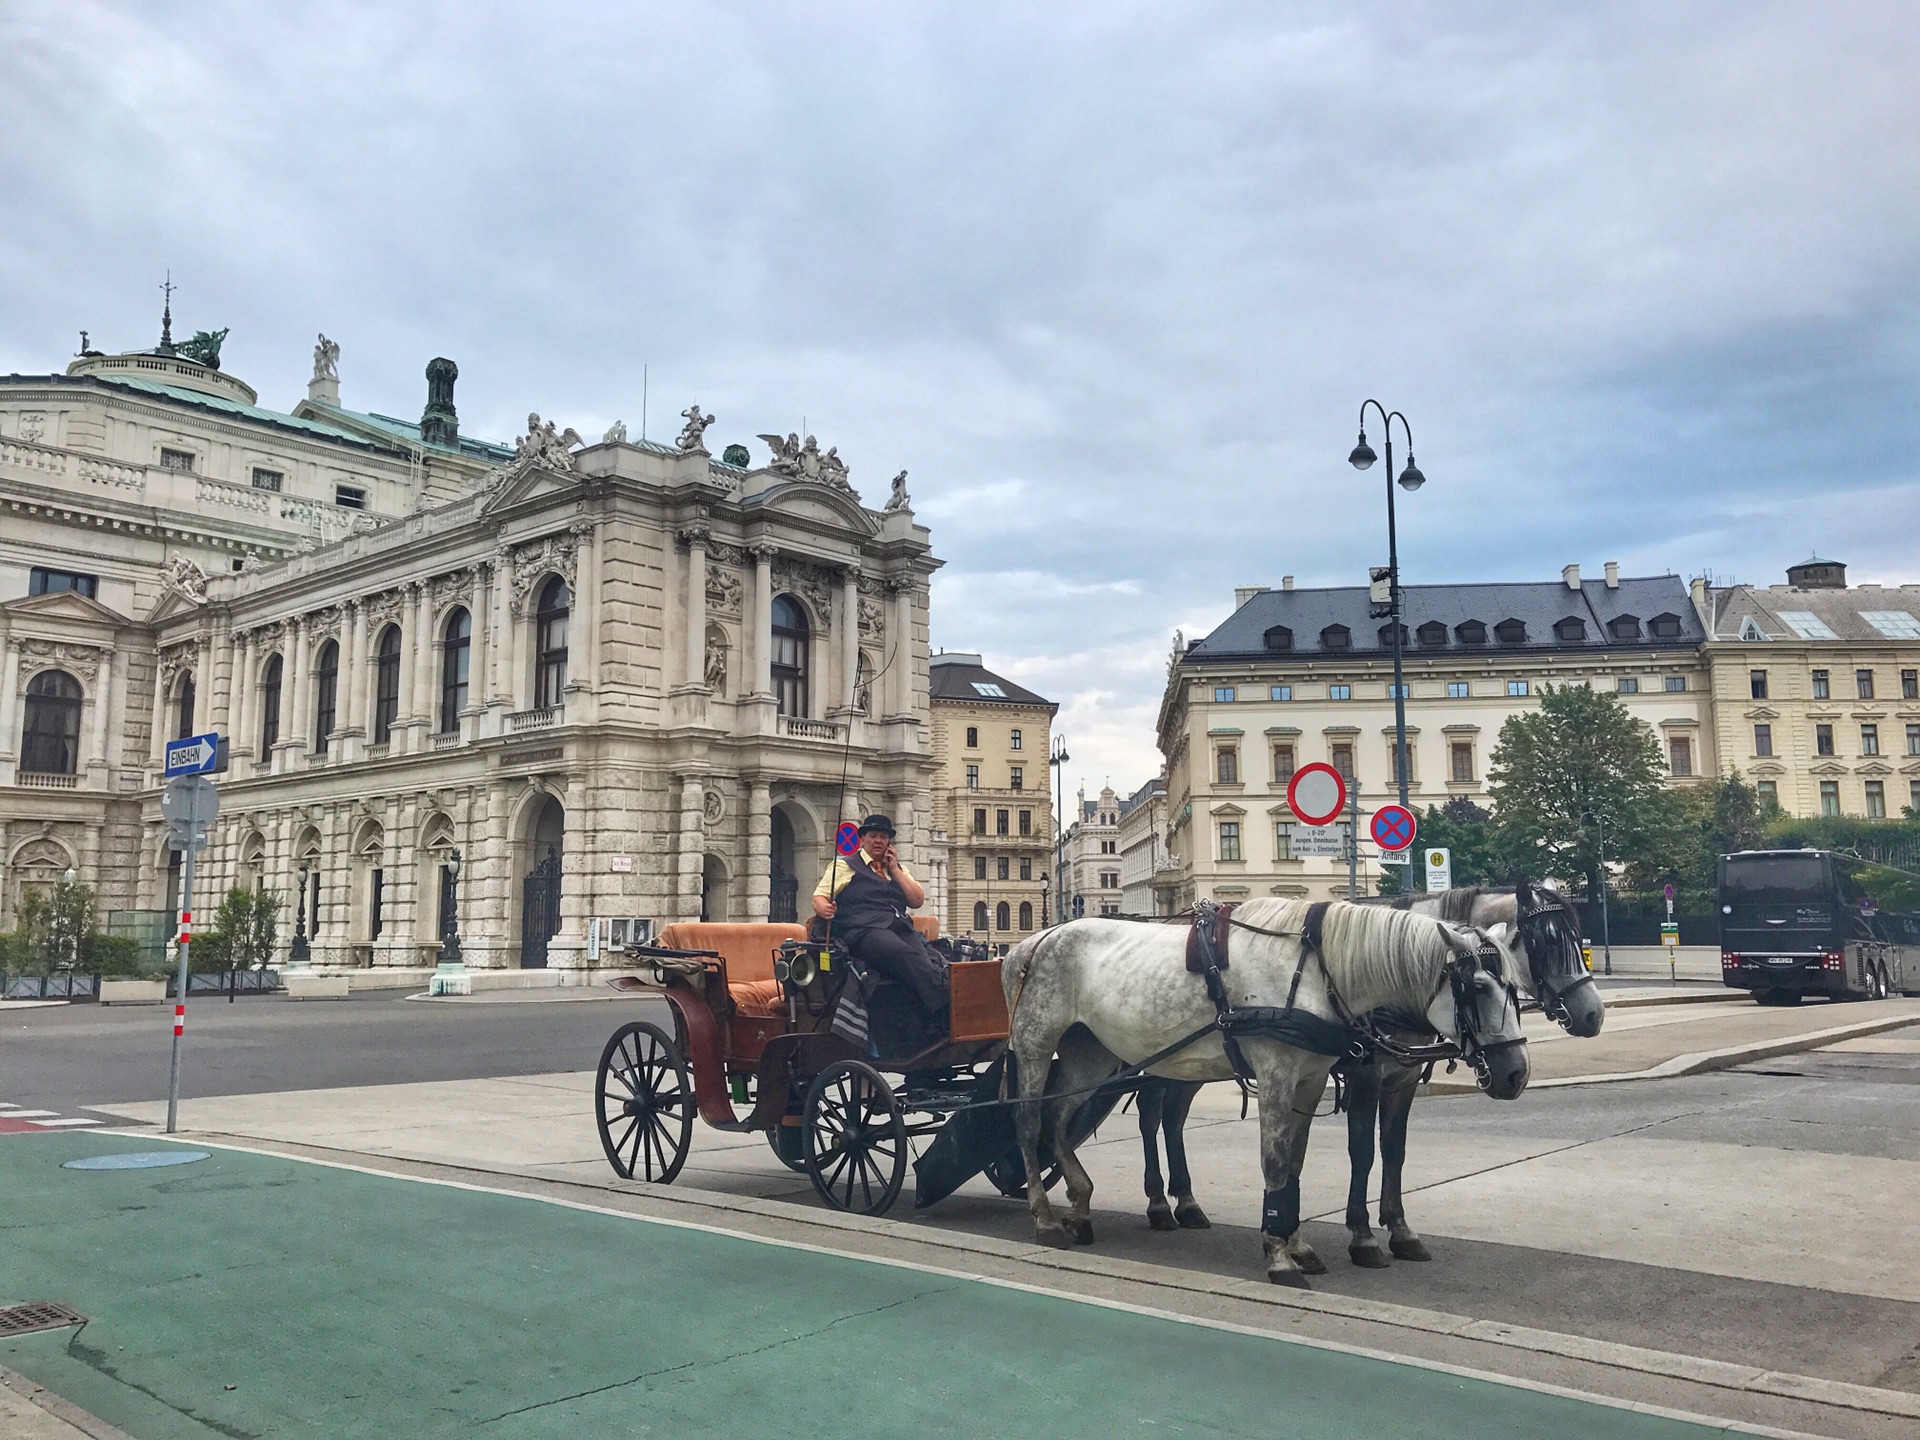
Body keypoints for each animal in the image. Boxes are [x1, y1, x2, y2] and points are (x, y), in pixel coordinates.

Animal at [1006, 902, 1528, 1282]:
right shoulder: (1283, 1075)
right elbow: (1282, 1160)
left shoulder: (1314, 1079)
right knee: (1030, 1123)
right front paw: (1282, 1254)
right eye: (1478, 987)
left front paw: (1297, 1243)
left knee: (1062, 1121)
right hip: (1037, 1046)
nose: (1516, 1075)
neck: (1318, 971)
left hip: (1090, 1054)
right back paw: (1045, 1216)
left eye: (1514, 987)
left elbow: (1300, 1161)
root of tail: (1030, 944)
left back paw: (1081, 1205)